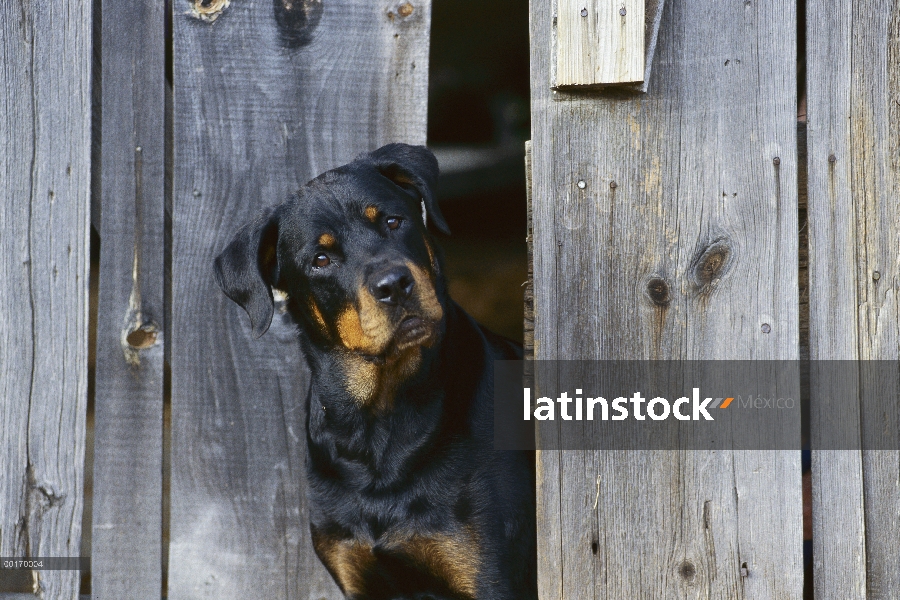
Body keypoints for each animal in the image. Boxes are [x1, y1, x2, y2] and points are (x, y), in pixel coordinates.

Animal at [214, 143, 536, 596]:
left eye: (392, 220)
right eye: (321, 259)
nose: (393, 284)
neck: (380, 425)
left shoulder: (491, 576)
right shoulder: (358, 575)